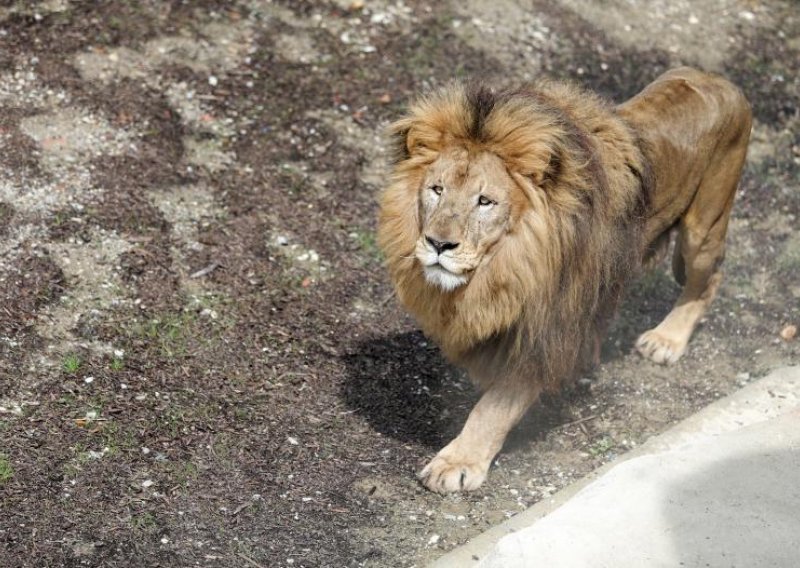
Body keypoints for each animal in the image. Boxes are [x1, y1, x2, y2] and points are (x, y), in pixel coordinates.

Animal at [376, 67, 752, 492]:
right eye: (437, 190)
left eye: (485, 201)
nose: (439, 244)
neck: (509, 263)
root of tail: (715, 78)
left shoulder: (550, 330)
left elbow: (494, 408)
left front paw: (458, 461)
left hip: (702, 229)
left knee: (710, 278)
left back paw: (666, 339)